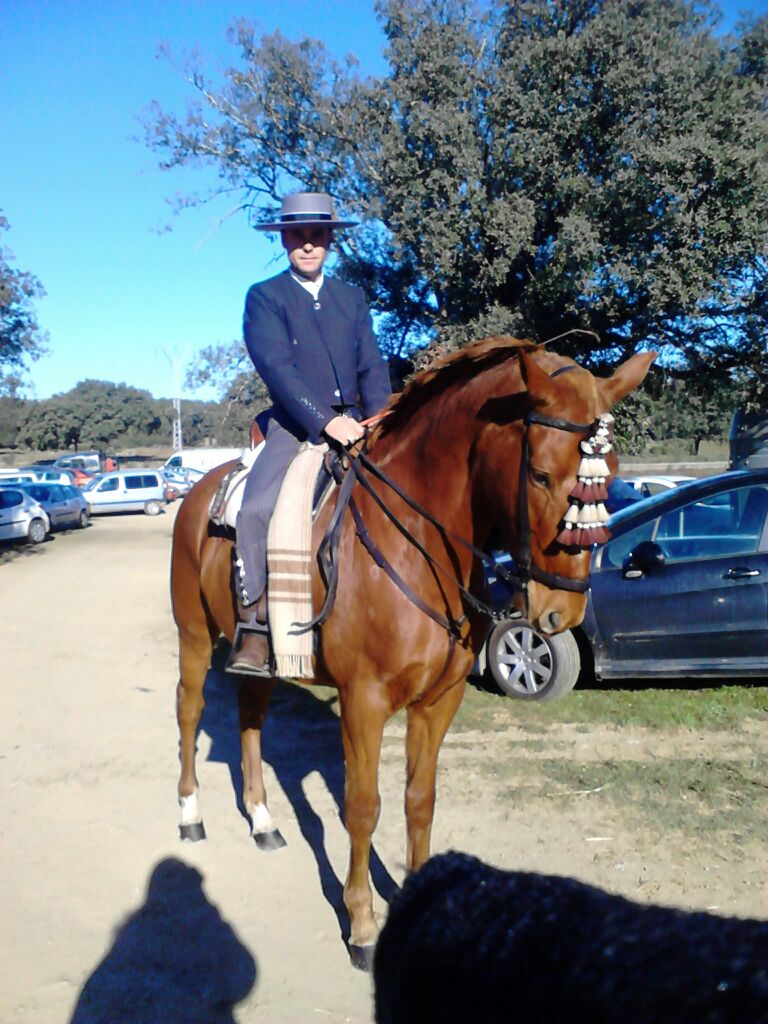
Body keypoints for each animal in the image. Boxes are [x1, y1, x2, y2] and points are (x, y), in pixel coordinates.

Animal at [173, 337, 655, 966]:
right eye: (541, 475)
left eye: (611, 475)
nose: (562, 613)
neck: (417, 542)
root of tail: (200, 490)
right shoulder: (364, 703)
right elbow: (362, 807)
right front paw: (361, 924)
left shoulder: (439, 702)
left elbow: (419, 800)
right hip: (193, 636)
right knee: (189, 712)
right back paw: (189, 814)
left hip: (257, 661)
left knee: (250, 715)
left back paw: (261, 820)